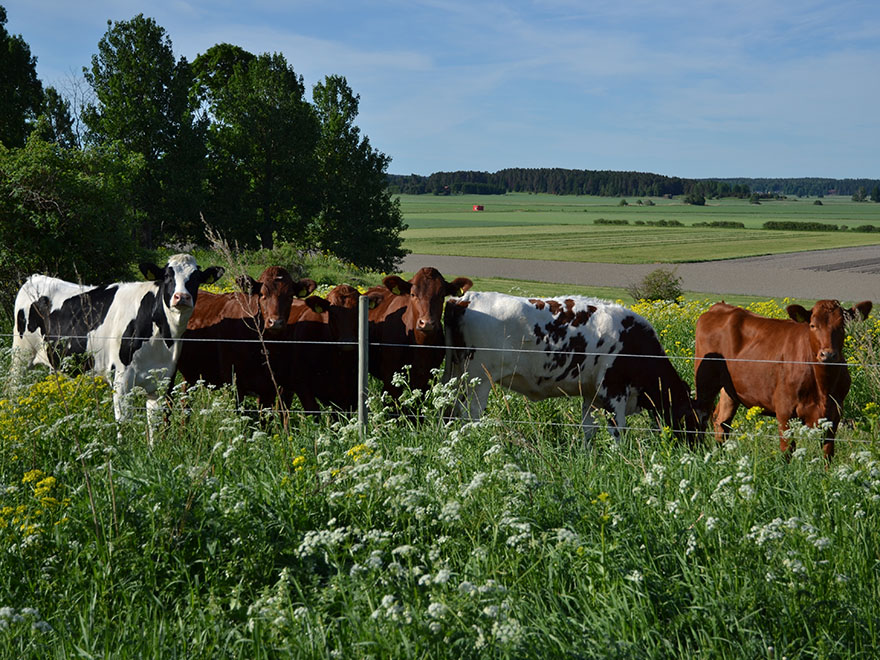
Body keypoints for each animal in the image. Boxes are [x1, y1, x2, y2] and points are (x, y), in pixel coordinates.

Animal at [11, 253, 223, 434]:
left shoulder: (162, 380)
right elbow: (124, 424)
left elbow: (154, 425)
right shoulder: (121, 378)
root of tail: (35, 277)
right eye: (167, 276)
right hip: (20, 356)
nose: (182, 297)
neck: (161, 336)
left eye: (195, 278)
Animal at [366, 266, 474, 398]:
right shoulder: (390, 379)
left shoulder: (427, 379)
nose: (426, 323)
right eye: (412, 294)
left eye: (442, 295)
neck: (420, 345)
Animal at [446, 292, 700, 444]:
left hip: (458, 377)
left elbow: (589, 429)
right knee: (471, 414)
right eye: (693, 419)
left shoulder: (591, 394)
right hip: (479, 380)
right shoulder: (614, 390)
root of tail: (465, 299)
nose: (697, 448)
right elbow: (618, 430)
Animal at [696, 300, 872, 458]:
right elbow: (787, 451)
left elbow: (828, 452)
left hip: (730, 391)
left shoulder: (834, 414)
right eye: (813, 325)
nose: (827, 354)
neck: (823, 386)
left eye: (843, 326)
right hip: (705, 383)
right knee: (701, 416)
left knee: (722, 422)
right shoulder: (784, 410)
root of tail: (719, 306)